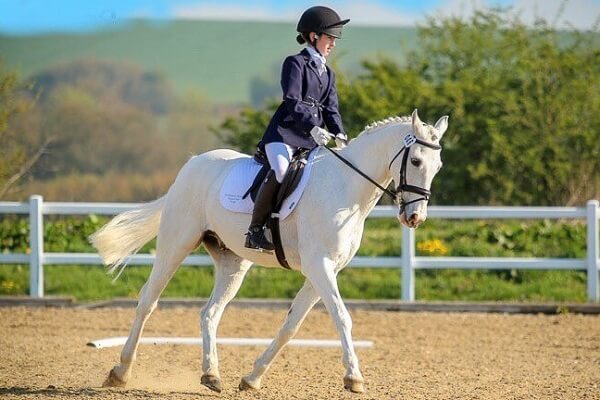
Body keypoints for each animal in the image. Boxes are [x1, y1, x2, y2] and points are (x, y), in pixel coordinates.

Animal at [91, 108, 448, 394]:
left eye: (438, 165)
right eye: (415, 160)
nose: (414, 218)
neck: (346, 187)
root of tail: (192, 164)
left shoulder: (322, 271)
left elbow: (290, 326)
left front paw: (252, 378)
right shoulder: (320, 266)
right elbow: (342, 318)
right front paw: (354, 378)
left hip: (233, 263)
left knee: (210, 313)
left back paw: (211, 375)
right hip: (176, 243)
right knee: (147, 301)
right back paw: (120, 372)